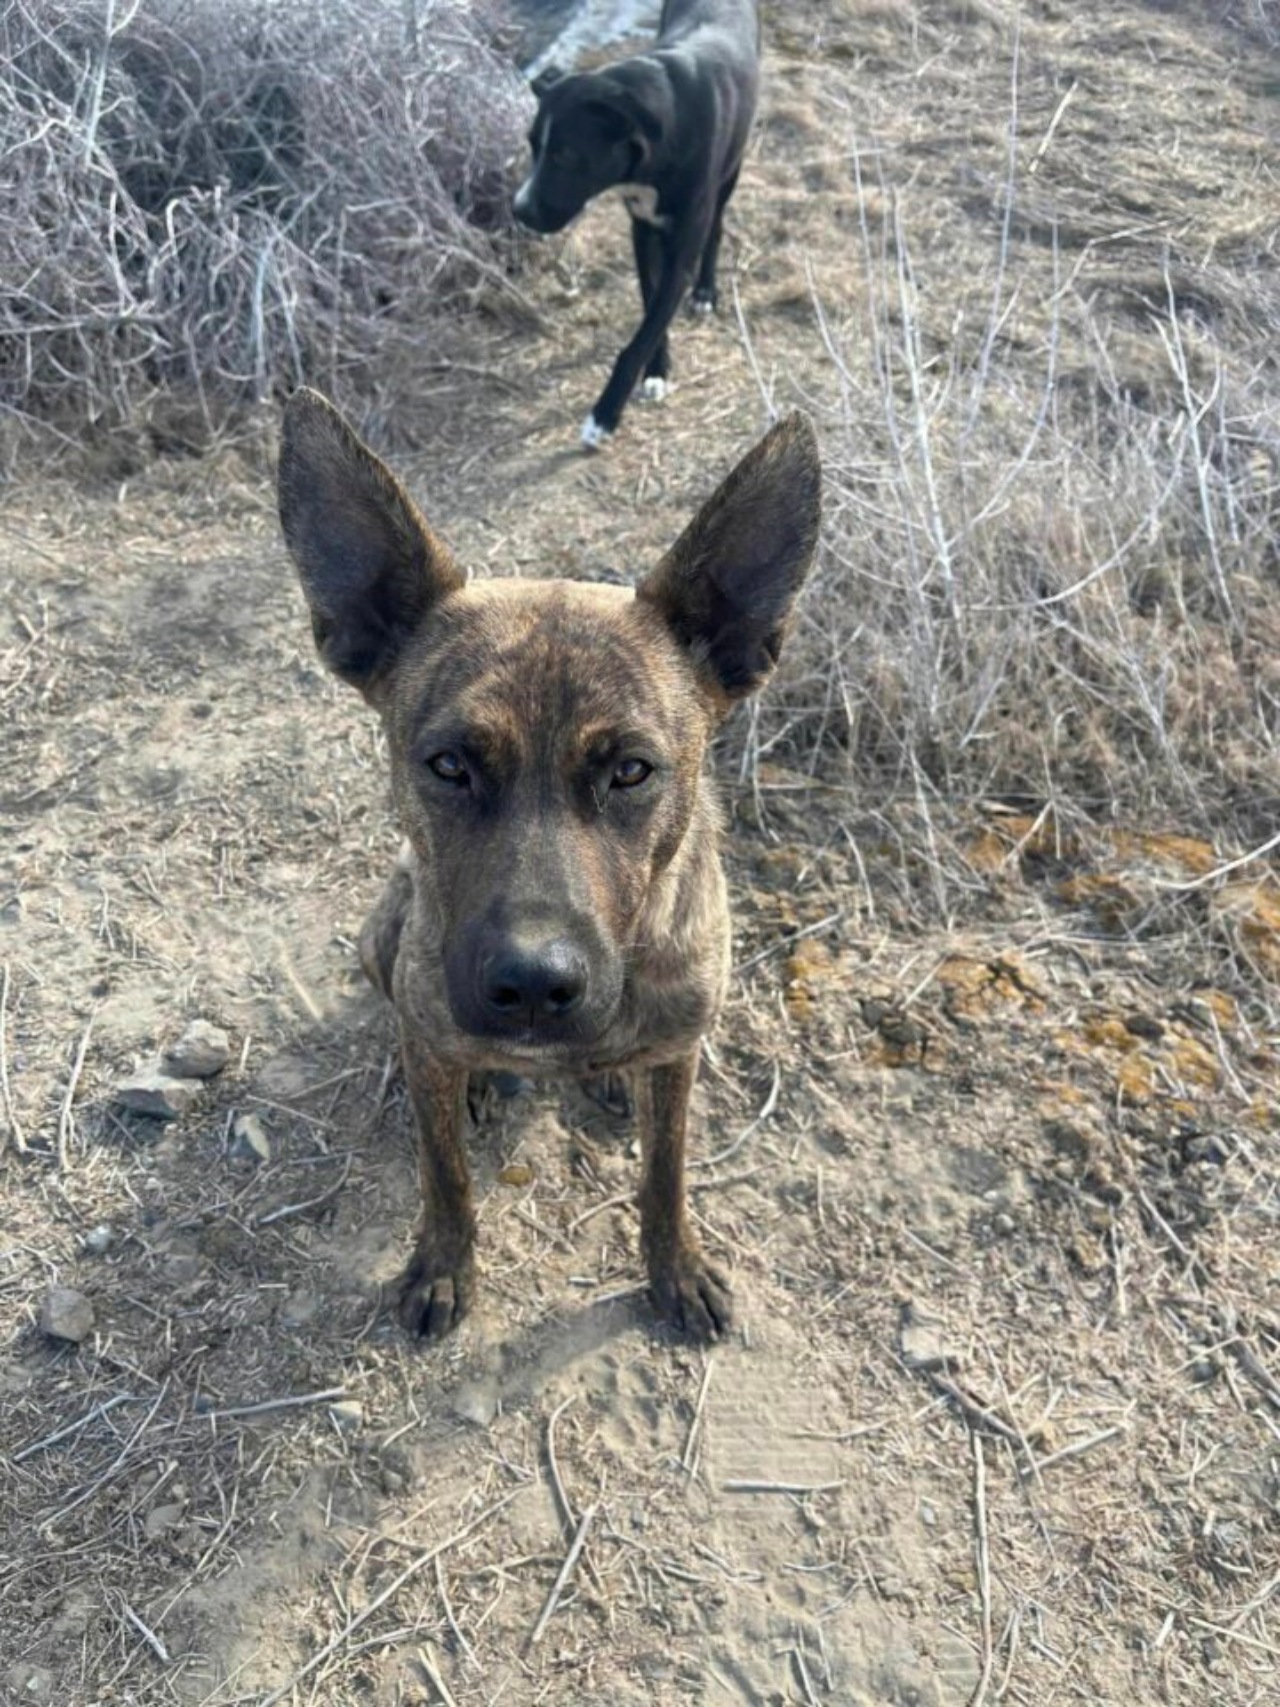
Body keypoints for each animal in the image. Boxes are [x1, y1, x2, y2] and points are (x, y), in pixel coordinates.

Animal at [279, 392, 822, 1338]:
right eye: (449, 764)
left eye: (631, 770)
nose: (532, 985)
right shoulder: (430, 1037)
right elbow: (446, 1176)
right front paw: (444, 1265)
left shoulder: (682, 1049)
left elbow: (665, 1175)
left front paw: (676, 1267)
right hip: (383, 934)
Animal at [515, 0, 761, 450]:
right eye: (533, 146)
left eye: (565, 154)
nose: (518, 211)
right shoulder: (640, 231)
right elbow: (651, 308)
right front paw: (657, 369)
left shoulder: (682, 248)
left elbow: (642, 335)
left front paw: (604, 414)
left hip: (731, 172)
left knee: (717, 225)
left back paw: (706, 290)